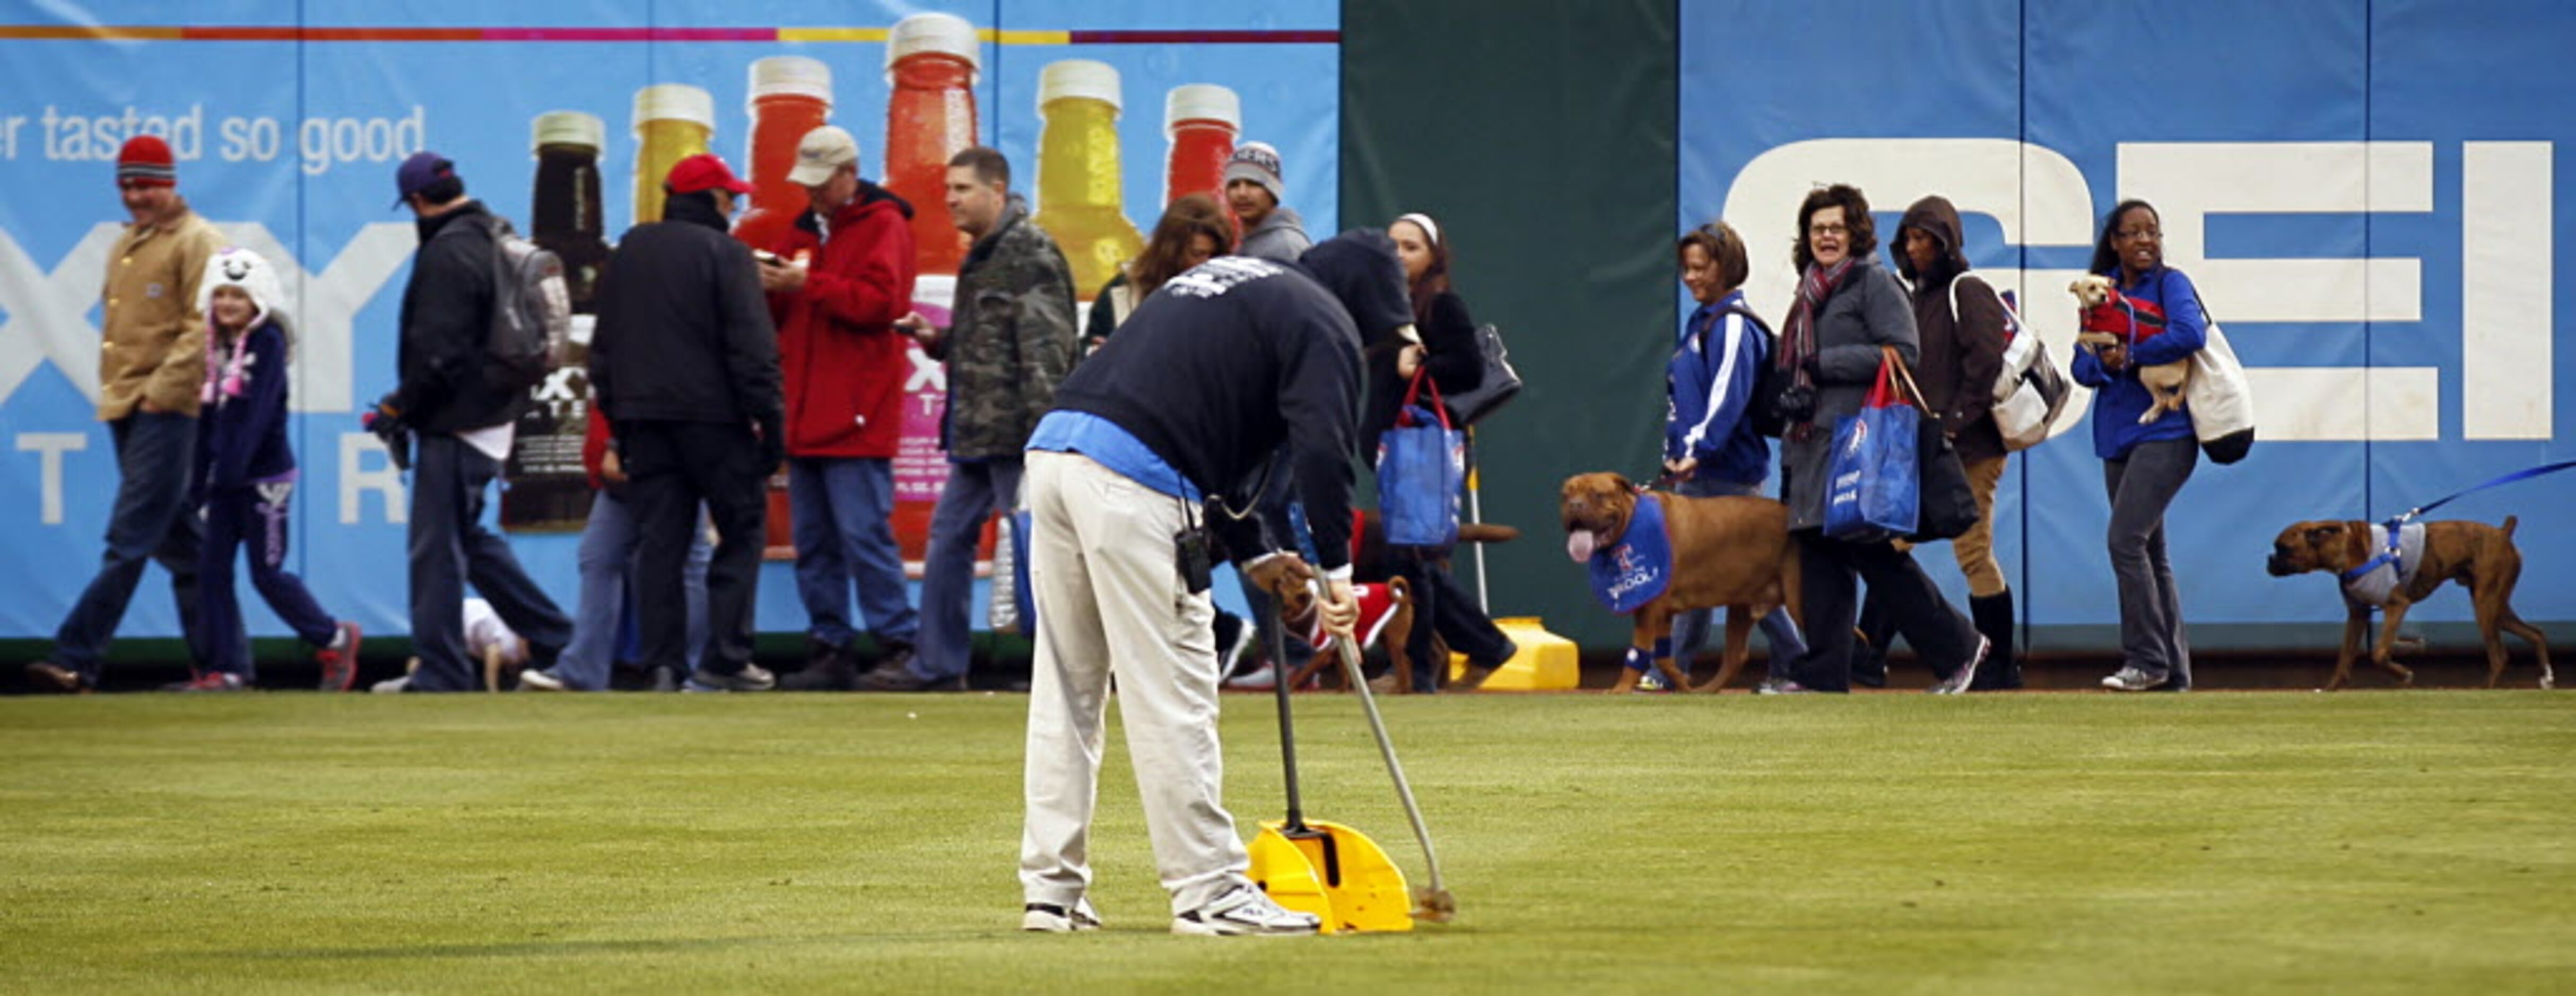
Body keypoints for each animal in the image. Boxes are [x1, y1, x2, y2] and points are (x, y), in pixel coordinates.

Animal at [1556, 473, 1803, 695]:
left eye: (1598, 495)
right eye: (1566, 496)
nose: (1575, 505)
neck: (1630, 522)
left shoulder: (1649, 609)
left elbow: (1637, 652)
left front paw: (1621, 689)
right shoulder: (1662, 613)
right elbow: (1664, 656)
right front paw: (1681, 684)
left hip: (1795, 600)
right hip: (1741, 606)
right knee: (1735, 656)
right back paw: (1706, 690)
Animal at [2071, 273, 2195, 424]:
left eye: (2106, 288)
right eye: (2091, 288)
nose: (2103, 296)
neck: (2098, 310)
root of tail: (2188, 360)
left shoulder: (2109, 336)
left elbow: (2081, 336)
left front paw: (2088, 346)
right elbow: (2084, 335)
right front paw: (2089, 346)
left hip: (2147, 373)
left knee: (2162, 400)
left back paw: (2148, 415)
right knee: (2167, 398)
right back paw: (2154, 414)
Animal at [2267, 520, 2545, 689]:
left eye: (2284, 548)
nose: (2269, 560)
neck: (2345, 551)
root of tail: (2502, 533)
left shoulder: (2397, 606)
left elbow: (2379, 652)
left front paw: (2403, 674)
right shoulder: (2357, 616)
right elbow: (2344, 659)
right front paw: (2330, 689)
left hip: (2486, 606)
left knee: (2499, 655)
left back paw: (2487, 689)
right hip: (2497, 607)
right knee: (2536, 633)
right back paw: (2547, 678)